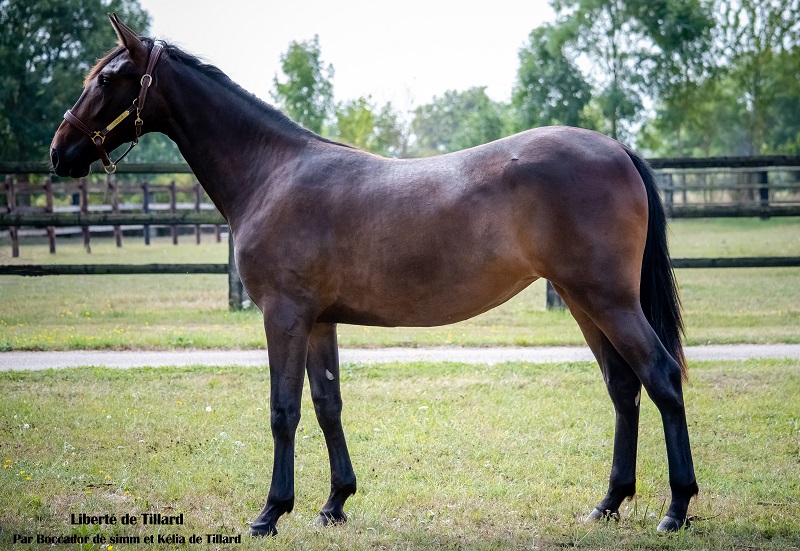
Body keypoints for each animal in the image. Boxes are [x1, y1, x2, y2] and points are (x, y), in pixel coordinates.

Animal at [50, 14, 698, 536]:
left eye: (106, 80)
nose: (58, 152)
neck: (272, 172)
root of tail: (617, 149)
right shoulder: (318, 322)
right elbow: (327, 403)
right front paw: (334, 503)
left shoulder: (284, 316)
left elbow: (283, 410)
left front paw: (270, 512)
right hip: (583, 301)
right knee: (623, 387)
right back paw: (609, 504)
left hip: (608, 299)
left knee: (661, 376)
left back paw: (676, 508)